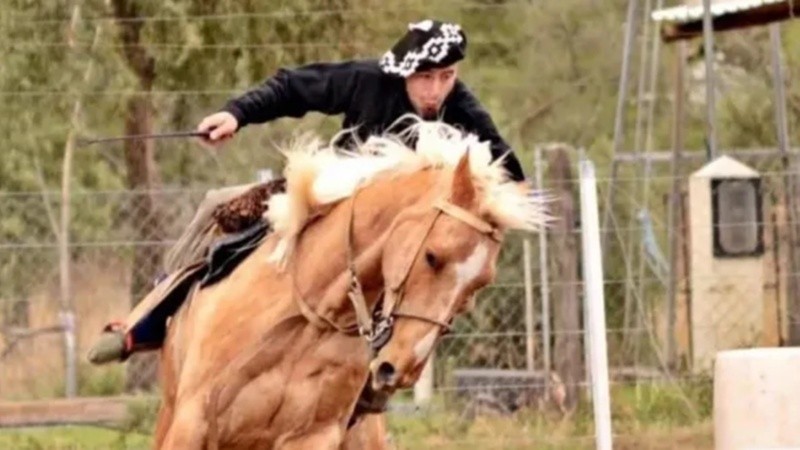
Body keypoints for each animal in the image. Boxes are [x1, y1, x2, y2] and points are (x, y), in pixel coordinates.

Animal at [152, 120, 549, 449]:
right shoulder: (192, 423)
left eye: (478, 287)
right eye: (432, 256)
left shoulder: (313, 437)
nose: (400, 368)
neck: (312, 316)